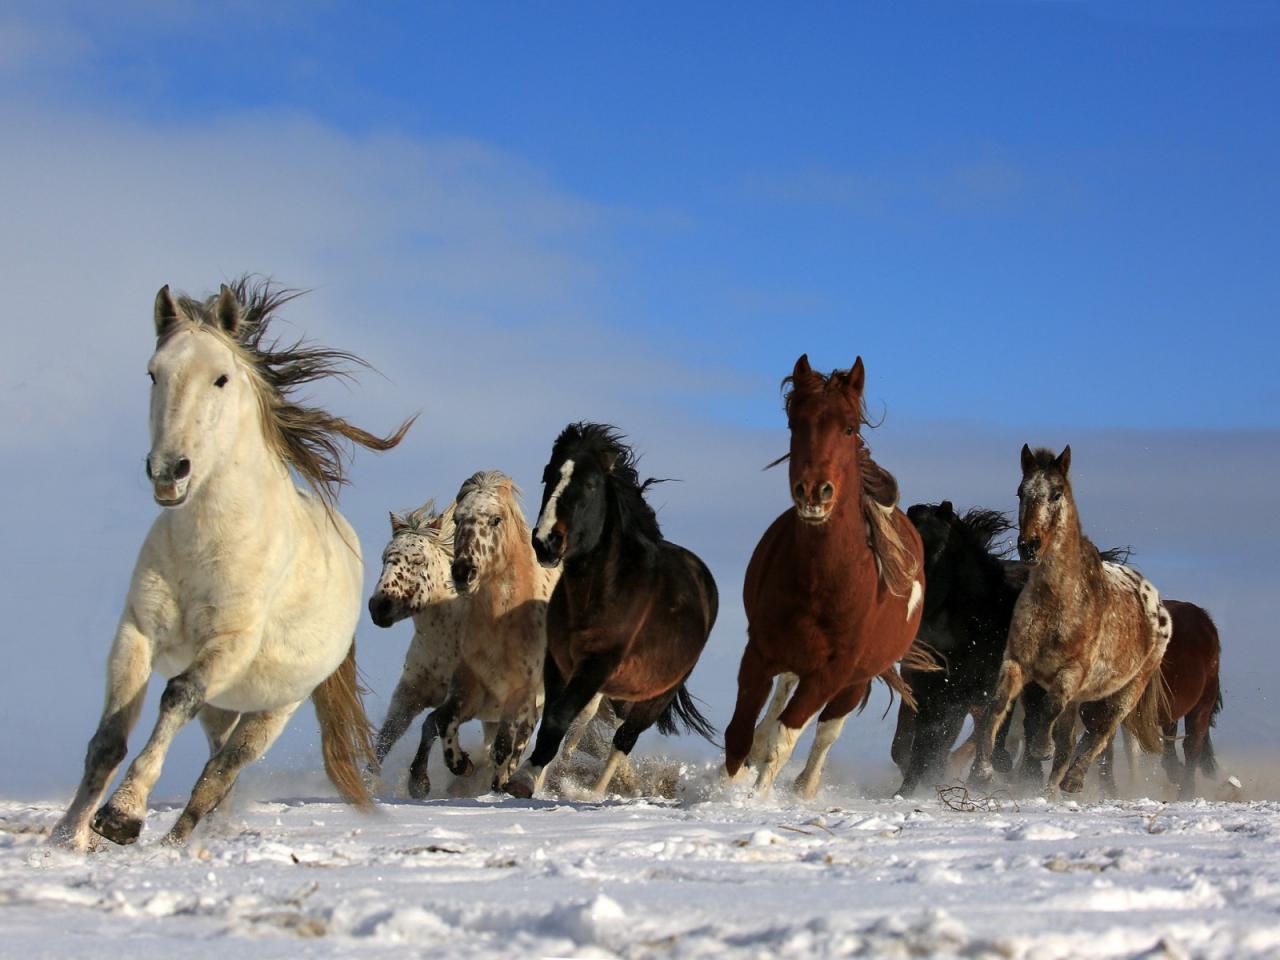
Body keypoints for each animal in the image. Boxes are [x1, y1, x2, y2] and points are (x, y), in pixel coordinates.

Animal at [363, 499, 468, 798]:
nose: (380, 606)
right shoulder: (409, 693)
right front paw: (366, 783)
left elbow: (431, 723)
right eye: (385, 557)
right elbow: (388, 734)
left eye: (419, 560)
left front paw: (419, 782)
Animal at [501, 424, 721, 798]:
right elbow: (554, 718)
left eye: (591, 484)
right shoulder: (559, 662)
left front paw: (523, 780)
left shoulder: (598, 663)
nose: (545, 542)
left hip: (656, 696)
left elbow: (559, 718)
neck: (599, 594)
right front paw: (532, 778)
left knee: (624, 739)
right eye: (548, 475)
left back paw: (595, 794)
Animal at [721, 358, 931, 798]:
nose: (814, 491)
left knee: (825, 733)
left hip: (855, 681)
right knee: (775, 706)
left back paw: (805, 788)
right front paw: (721, 791)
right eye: (795, 424)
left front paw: (754, 799)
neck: (822, 580)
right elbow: (740, 732)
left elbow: (785, 740)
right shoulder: (760, 651)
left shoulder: (832, 673)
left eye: (849, 428)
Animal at [890, 504, 1049, 798]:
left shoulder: (983, 689)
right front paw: (907, 790)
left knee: (1029, 724)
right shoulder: (930, 691)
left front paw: (982, 774)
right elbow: (920, 745)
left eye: (940, 547)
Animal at [967, 450, 1172, 798]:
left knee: (1102, 733)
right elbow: (997, 706)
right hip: (1081, 698)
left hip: (1127, 690)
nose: (1029, 545)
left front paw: (1040, 749)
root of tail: (1156, 601)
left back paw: (1074, 780)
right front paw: (981, 772)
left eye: (1057, 493)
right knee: (1071, 742)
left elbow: (1048, 711)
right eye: (1020, 492)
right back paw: (1050, 789)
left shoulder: (1071, 674)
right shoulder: (1017, 662)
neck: (1058, 602)